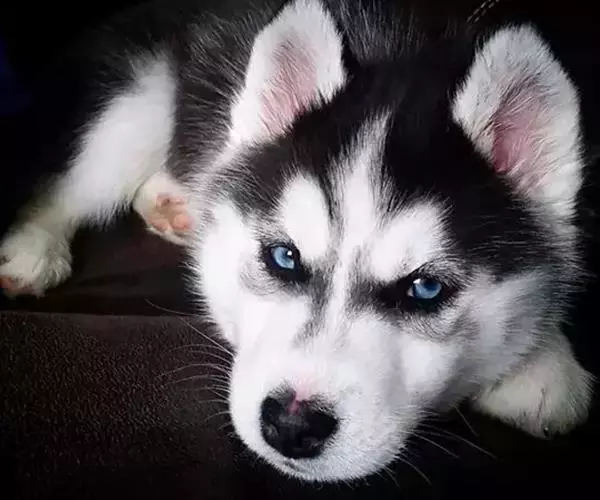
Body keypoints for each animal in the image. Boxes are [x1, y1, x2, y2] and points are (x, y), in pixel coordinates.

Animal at [0, 0, 595, 483]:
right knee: (71, 181)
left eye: (425, 289)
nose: (291, 426)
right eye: (284, 258)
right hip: (137, 101)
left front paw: (543, 360)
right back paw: (33, 247)